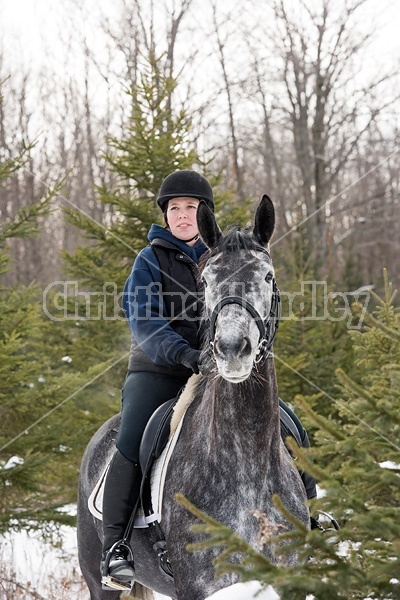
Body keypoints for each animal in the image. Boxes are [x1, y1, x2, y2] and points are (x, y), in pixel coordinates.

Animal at [77, 197, 310, 600]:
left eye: (267, 276)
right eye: (206, 280)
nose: (232, 350)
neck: (244, 465)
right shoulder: (199, 584)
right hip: (99, 581)